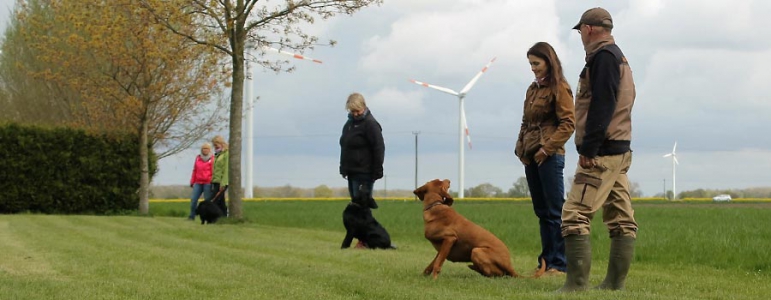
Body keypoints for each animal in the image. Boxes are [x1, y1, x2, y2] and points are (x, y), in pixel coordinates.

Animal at [414, 178, 544, 278]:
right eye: (440, 181)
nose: (448, 180)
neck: (435, 205)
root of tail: (509, 264)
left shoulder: (450, 239)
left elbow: (437, 263)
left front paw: (434, 278)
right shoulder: (443, 247)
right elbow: (433, 263)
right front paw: (424, 275)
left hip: (477, 250)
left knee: (498, 274)